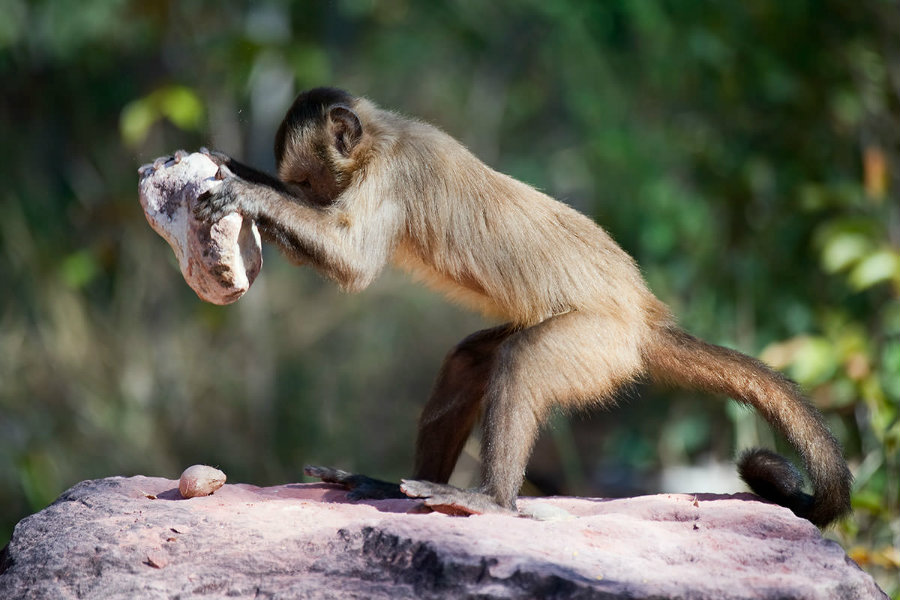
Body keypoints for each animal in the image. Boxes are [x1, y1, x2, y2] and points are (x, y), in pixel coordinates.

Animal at [193, 85, 856, 524]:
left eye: (305, 185)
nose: (294, 191)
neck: (384, 136)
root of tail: (644, 316)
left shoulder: (394, 174)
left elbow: (352, 262)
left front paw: (250, 195)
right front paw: (228, 168)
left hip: (600, 341)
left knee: (526, 360)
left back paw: (492, 500)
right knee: (470, 359)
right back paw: (390, 486)